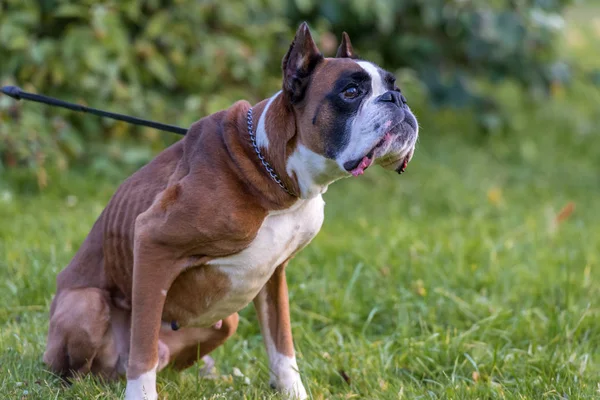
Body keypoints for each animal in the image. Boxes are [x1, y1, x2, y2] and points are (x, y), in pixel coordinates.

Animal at [43, 22, 418, 400]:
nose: (397, 99)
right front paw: (141, 394)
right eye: (351, 92)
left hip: (226, 322)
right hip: (88, 306)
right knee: (89, 367)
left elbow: (282, 345)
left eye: (394, 87)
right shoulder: (151, 240)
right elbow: (143, 345)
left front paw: (291, 390)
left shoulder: (274, 276)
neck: (274, 176)